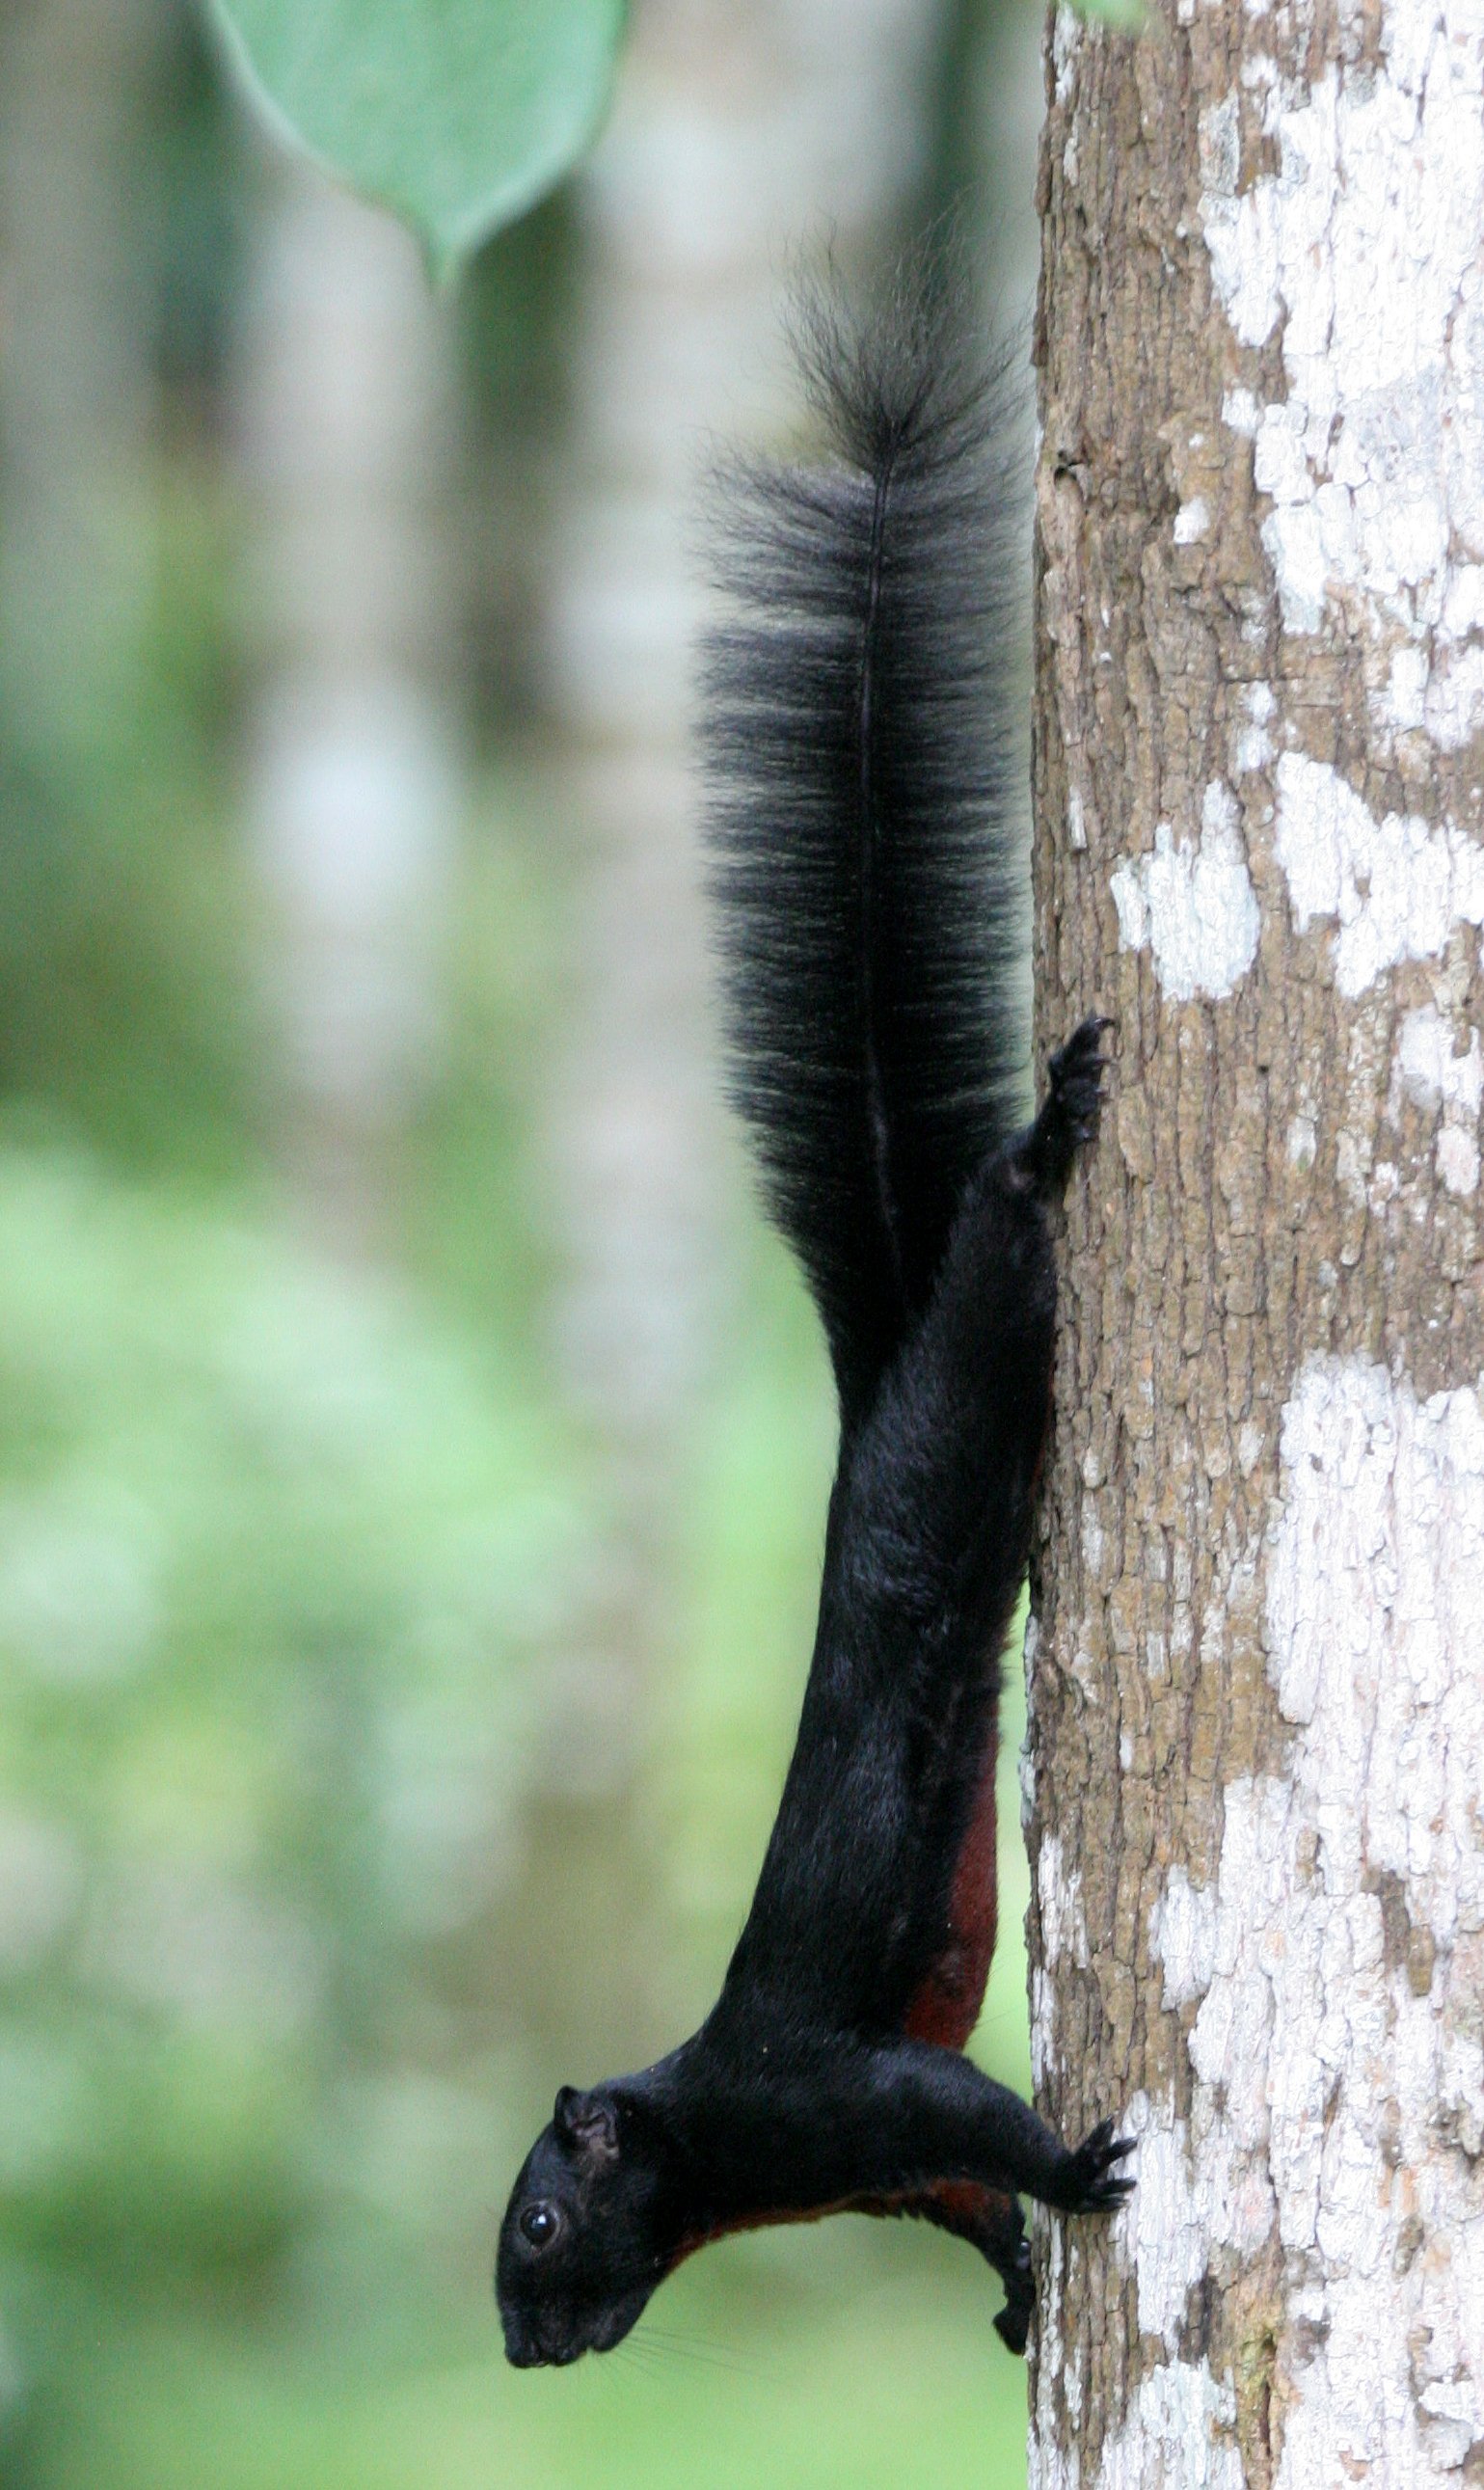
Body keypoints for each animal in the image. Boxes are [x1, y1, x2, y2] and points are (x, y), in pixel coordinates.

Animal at [497, 262, 1131, 2369]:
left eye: (537, 2222)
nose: (518, 2346)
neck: (708, 2153)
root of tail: (873, 1383)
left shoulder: (827, 2095)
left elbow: (970, 2116)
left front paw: (1077, 2166)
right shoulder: (867, 2167)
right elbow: (951, 2196)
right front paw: (1013, 2280)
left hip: (973, 1391)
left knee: (1005, 1252)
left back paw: (1043, 1143)